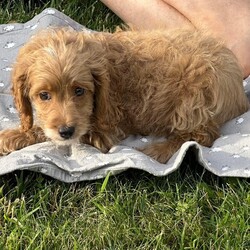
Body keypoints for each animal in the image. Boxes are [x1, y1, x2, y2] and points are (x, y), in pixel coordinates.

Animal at [0, 27, 248, 163]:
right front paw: (18, 134)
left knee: (202, 136)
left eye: (79, 91)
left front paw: (12, 136)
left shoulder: (104, 132)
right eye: (44, 95)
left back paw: (157, 151)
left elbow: (49, 132)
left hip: (193, 99)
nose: (66, 131)